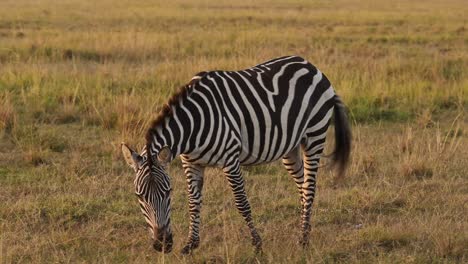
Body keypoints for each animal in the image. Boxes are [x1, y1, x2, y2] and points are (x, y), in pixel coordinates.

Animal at [121, 55, 352, 254]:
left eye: (168, 192)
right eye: (139, 196)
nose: (162, 245)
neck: (191, 127)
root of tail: (312, 66)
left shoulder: (230, 159)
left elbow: (242, 203)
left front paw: (257, 245)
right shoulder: (191, 164)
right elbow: (193, 203)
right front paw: (190, 244)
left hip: (314, 135)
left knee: (310, 186)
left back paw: (303, 240)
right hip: (291, 147)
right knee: (303, 185)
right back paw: (305, 231)